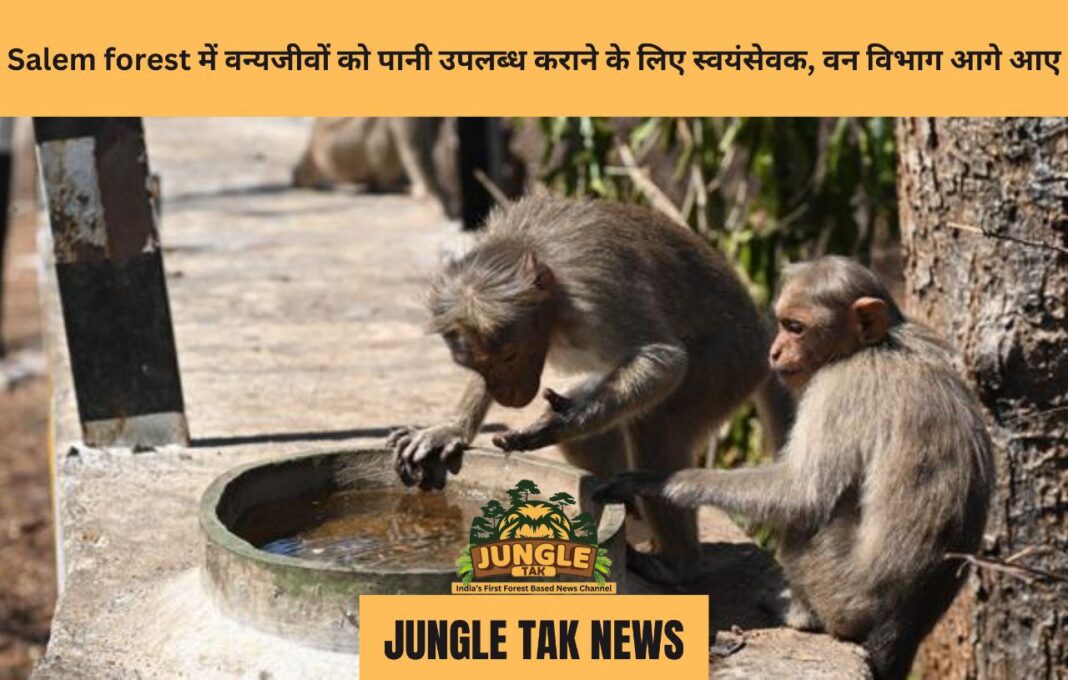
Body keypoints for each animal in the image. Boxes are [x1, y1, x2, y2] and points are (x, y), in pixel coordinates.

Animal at [386, 192, 782, 581]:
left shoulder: (595, 293)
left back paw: (676, 565)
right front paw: (450, 430)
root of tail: (760, 338)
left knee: (658, 426)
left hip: (725, 368)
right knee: (600, 434)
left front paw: (559, 423)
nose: (507, 398)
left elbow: (665, 361)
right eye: (481, 366)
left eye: (509, 357)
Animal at [594, 256, 994, 679]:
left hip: (840, 593)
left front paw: (660, 482)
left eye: (796, 327)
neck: (876, 345)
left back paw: (801, 614)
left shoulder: (838, 388)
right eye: (783, 324)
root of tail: (904, 628)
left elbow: (801, 495)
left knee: (809, 518)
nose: (775, 351)